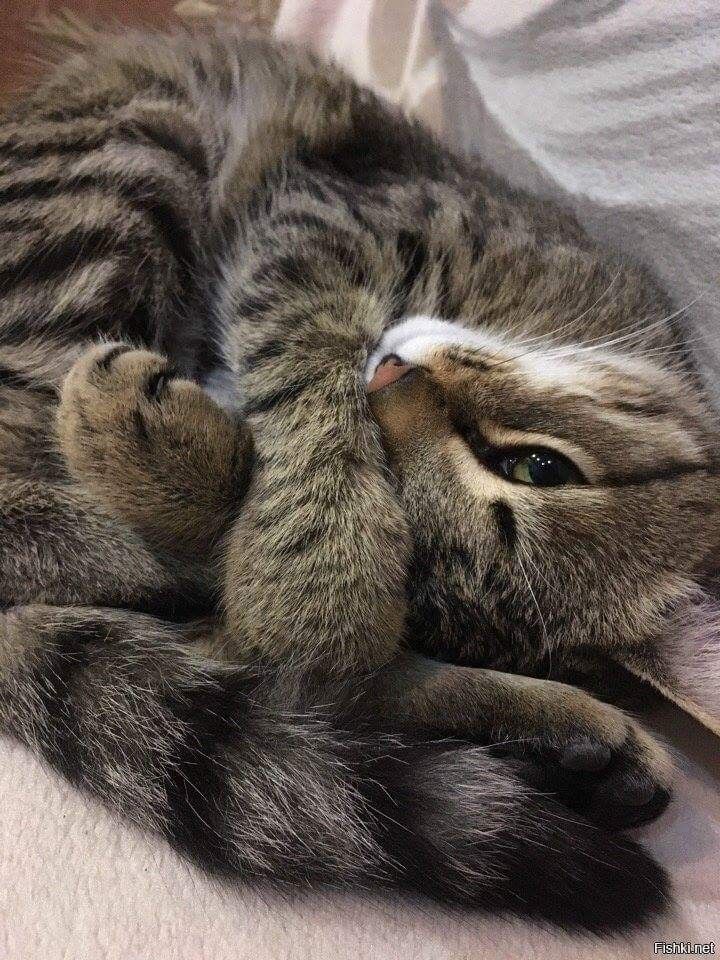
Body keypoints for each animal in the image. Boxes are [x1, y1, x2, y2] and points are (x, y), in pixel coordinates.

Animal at [2, 18, 716, 932]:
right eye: (536, 464)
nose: (388, 377)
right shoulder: (327, 215)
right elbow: (306, 359)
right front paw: (311, 584)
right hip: (135, 150)